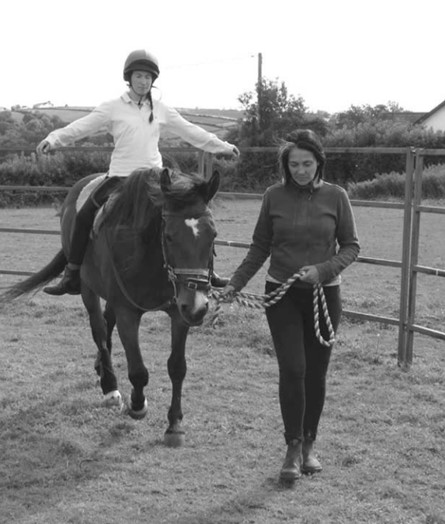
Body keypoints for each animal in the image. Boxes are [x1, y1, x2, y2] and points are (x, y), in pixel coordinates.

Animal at [1, 167, 220, 447]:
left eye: (213, 235)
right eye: (169, 236)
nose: (197, 306)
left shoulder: (179, 314)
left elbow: (177, 367)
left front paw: (175, 425)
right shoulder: (129, 313)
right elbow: (137, 370)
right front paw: (137, 404)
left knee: (107, 322)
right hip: (88, 289)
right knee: (99, 329)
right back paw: (109, 386)